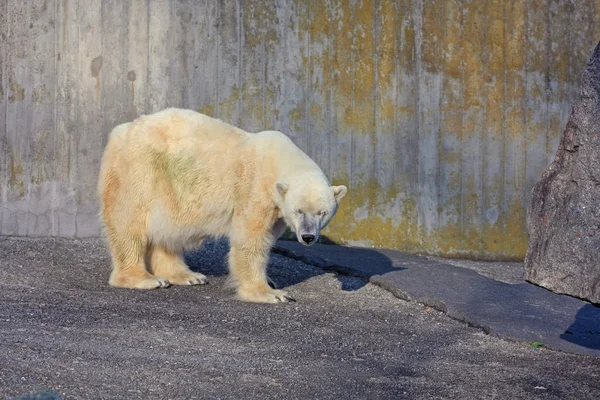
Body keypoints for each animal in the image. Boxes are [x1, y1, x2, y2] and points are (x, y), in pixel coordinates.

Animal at [96, 108, 344, 302]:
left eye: (322, 213)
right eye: (298, 211)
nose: (308, 237)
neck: (279, 159)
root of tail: (121, 131)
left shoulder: (276, 208)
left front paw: (270, 281)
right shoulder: (254, 188)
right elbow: (250, 238)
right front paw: (269, 293)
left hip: (169, 188)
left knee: (167, 230)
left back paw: (188, 276)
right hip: (140, 169)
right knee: (129, 223)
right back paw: (144, 278)